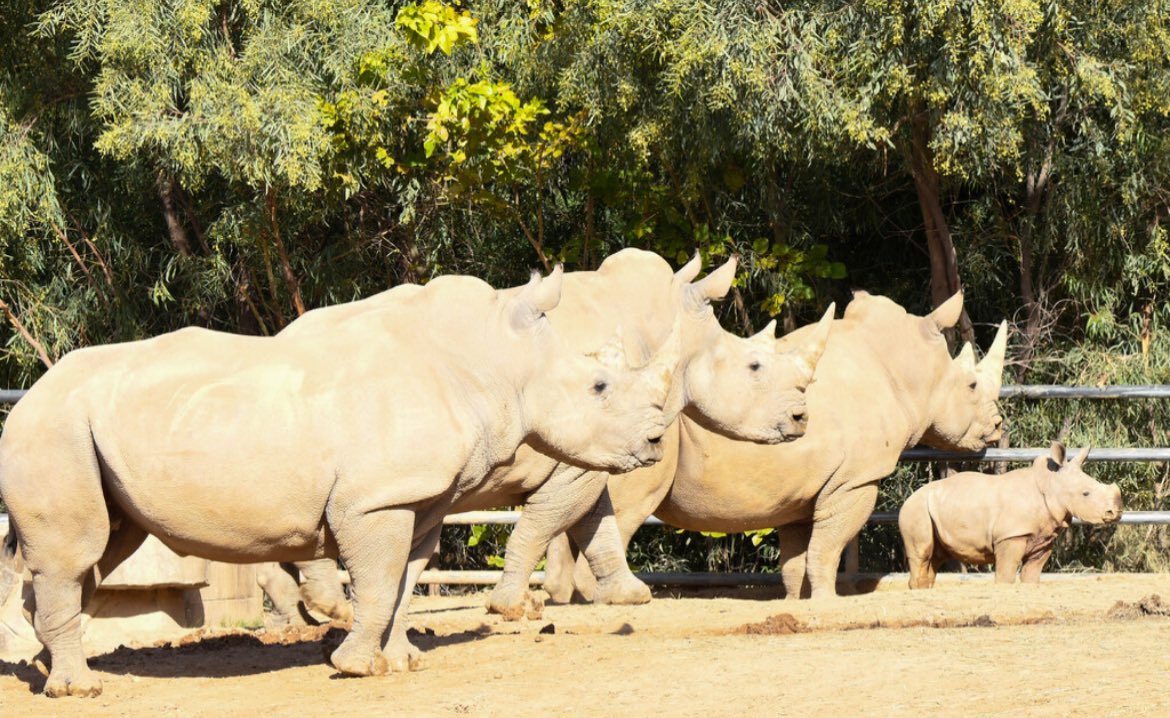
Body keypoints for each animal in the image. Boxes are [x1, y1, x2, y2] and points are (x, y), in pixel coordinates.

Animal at [0, 268, 678, 696]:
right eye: (599, 387)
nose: (653, 443)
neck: (491, 358)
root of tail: (29, 393)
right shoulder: (375, 500)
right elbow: (378, 582)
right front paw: (354, 668)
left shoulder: (420, 497)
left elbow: (406, 578)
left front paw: (401, 663)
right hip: (52, 426)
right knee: (79, 551)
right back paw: (79, 689)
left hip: (78, 428)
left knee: (104, 549)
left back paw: (47, 667)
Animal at [893, 444, 1123, 591]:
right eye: (1086, 494)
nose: (1116, 513)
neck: (1050, 485)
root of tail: (907, 498)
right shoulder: (1011, 536)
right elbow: (1006, 575)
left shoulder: (1044, 537)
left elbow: (1032, 574)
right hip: (915, 509)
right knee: (922, 553)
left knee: (935, 557)